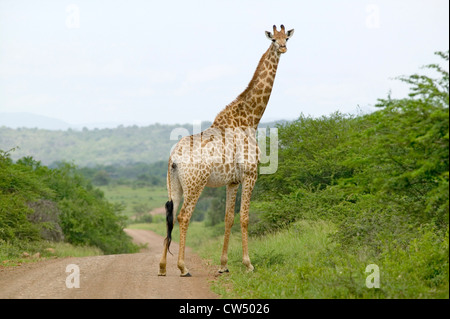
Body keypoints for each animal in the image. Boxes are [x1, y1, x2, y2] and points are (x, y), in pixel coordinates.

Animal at [159, 24, 296, 278]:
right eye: (273, 39)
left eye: (287, 38)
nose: (283, 47)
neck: (250, 119)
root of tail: (174, 158)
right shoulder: (250, 174)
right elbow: (244, 218)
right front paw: (248, 264)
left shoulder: (232, 181)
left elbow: (228, 218)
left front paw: (223, 265)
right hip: (195, 184)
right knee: (184, 216)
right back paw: (183, 267)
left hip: (175, 185)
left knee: (170, 217)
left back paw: (162, 267)